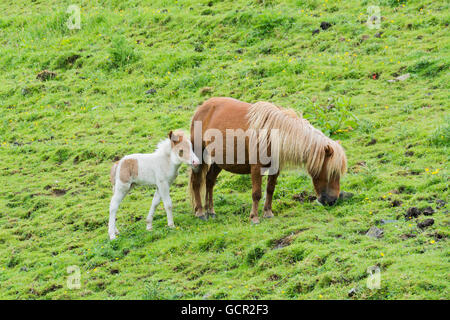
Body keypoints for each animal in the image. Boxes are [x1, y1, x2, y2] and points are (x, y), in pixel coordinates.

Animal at [188, 97, 346, 222]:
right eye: (332, 172)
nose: (332, 201)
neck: (272, 135)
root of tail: (201, 108)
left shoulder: (275, 169)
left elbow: (270, 189)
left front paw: (268, 213)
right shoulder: (256, 168)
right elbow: (256, 193)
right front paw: (254, 218)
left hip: (219, 161)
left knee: (209, 181)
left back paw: (210, 211)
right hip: (199, 156)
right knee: (197, 182)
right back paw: (201, 212)